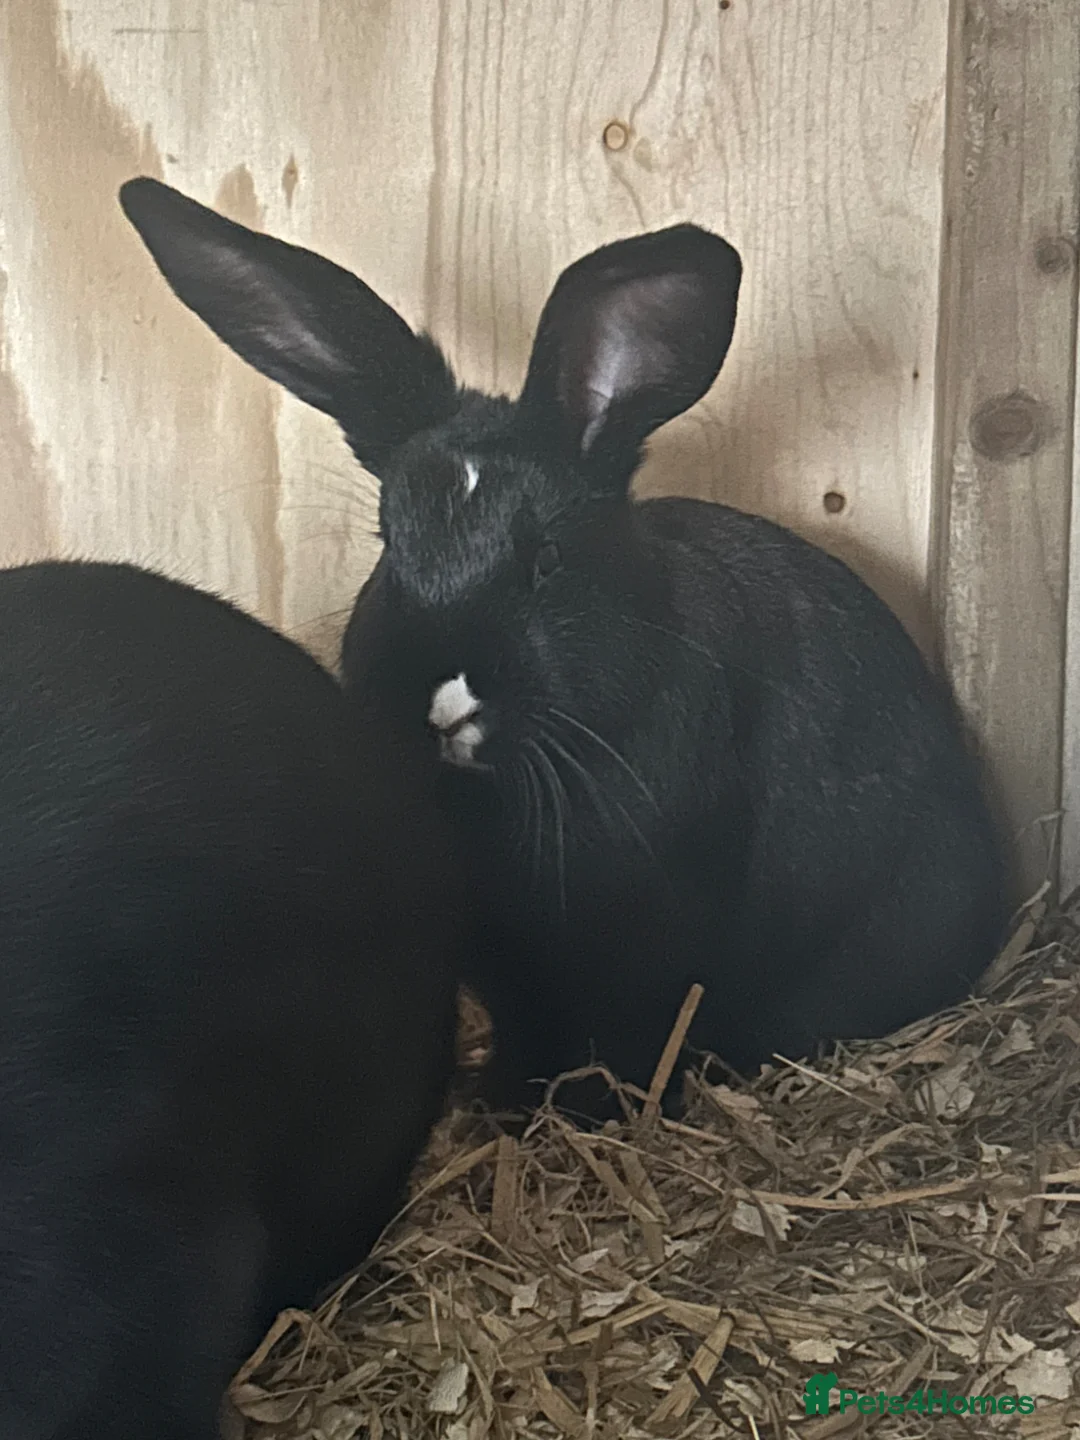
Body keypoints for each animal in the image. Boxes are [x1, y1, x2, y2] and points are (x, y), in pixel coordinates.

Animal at [118, 176, 1008, 1122]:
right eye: (390, 547)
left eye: (544, 560)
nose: (435, 698)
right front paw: (501, 1105)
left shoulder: (645, 952)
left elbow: (628, 1037)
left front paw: (592, 1113)